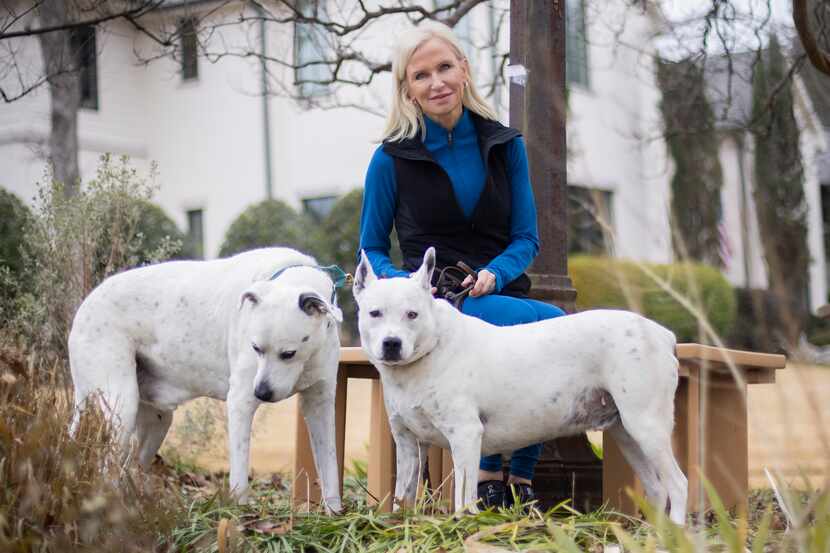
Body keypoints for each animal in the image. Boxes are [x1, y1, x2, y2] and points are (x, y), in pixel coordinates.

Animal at [68, 246, 344, 508]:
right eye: (256, 348)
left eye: (288, 353)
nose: (262, 393)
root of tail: (84, 307)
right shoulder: (241, 402)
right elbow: (240, 477)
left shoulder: (320, 404)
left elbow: (330, 469)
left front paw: (334, 514)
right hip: (121, 407)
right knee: (106, 472)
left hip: (156, 421)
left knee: (127, 468)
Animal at [356, 248, 688, 524]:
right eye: (375, 313)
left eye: (412, 314)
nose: (391, 343)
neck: (432, 348)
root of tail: (663, 334)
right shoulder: (408, 442)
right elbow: (403, 493)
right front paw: (398, 524)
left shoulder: (465, 435)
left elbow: (464, 496)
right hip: (627, 433)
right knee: (657, 488)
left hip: (646, 426)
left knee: (677, 484)